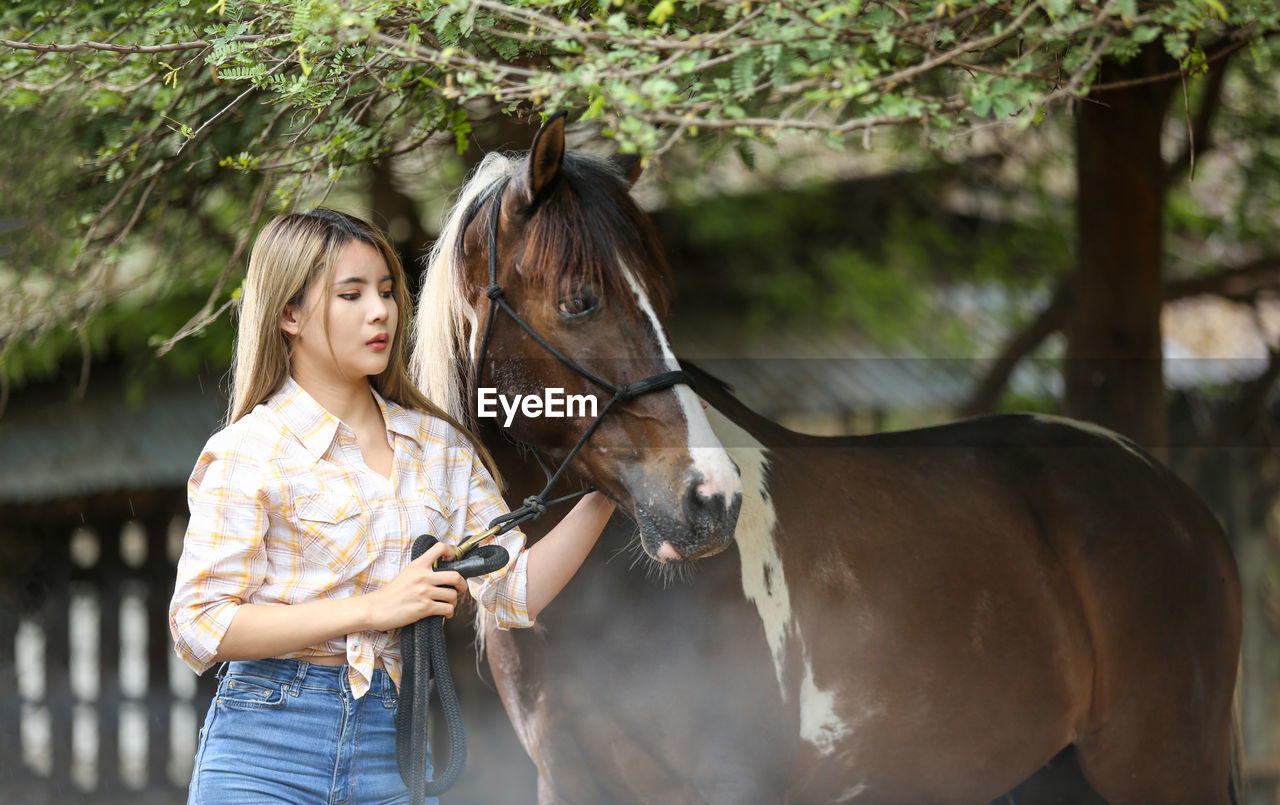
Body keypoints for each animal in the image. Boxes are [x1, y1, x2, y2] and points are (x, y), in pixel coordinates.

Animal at [409, 114, 1239, 803]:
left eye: (661, 300)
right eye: (580, 298)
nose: (710, 499)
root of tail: (1181, 504)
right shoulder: (567, 780)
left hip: (1161, 769)